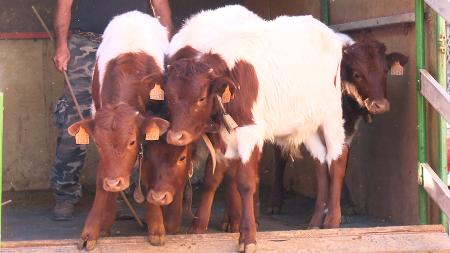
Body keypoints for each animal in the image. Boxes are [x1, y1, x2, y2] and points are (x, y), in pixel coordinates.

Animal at [69, 10, 170, 250]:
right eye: (98, 143)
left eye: (132, 141)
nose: (115, 182)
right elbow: (100, 180)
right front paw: (91, 231)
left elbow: (151, 172)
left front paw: (156, 227)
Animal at [163, 5, 342, 251]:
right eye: (169, 97)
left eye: (201, 98)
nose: (176, 136)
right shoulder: (218, 135)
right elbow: (212, 179)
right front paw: (198, 227)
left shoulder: (249, 130)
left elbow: (246, 182)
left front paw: (247, 235)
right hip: (307, 123)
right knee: (321, 161)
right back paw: (315, 221)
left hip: (332, 113)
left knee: (336, 159)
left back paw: (333, 219)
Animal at [268, 33, 410, 229]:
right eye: (357, 74)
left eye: (385, 70)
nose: (380, 105)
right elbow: (321, 168)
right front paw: (318, 218)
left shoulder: (348, 130)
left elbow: (339, 164)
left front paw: (334, 215)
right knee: (279, 154)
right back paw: (275, 201)